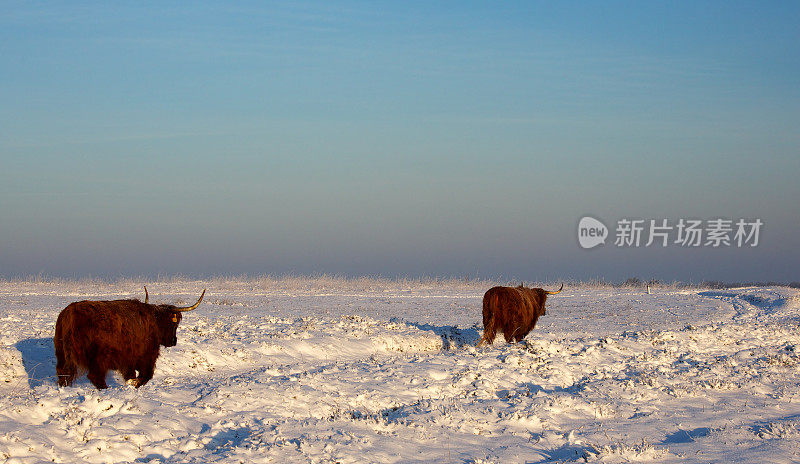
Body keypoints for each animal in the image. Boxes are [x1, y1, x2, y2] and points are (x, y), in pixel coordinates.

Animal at [52, 288, 203, 390]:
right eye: (173, 324)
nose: (173, 341)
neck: (154, 321)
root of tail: (70, 312)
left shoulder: (128, 359)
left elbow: (132, 375)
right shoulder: (146, 356)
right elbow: (145, 376)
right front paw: (133, 384)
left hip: (62, 354)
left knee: (63, 373)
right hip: (98, 358)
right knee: (95, 376)